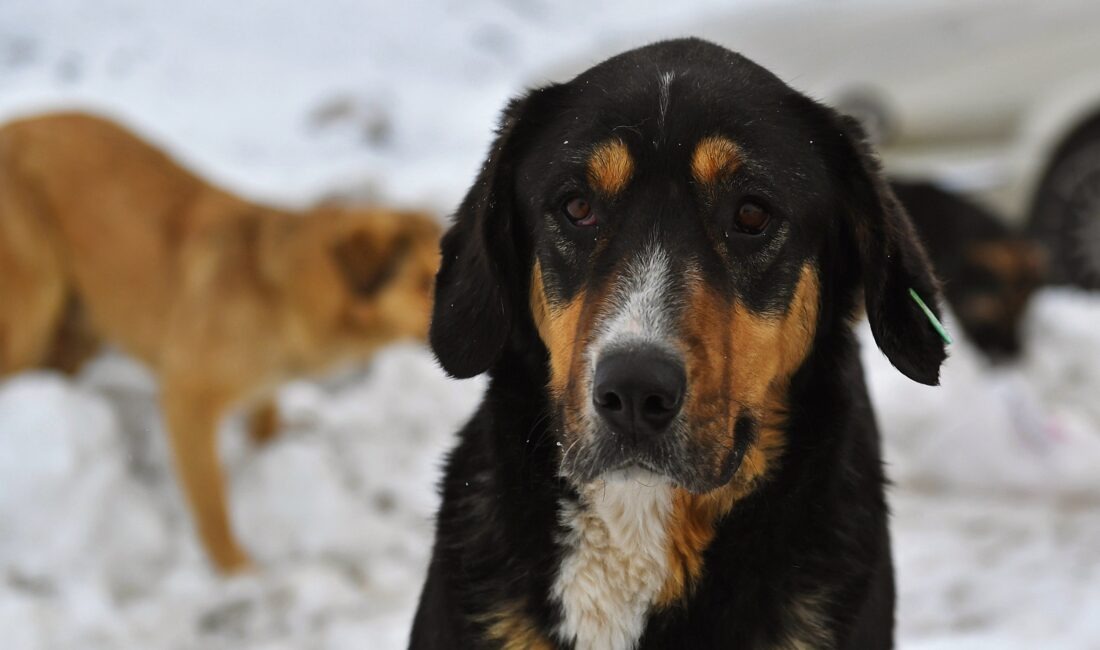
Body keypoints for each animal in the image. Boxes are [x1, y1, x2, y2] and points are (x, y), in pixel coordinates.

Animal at [1, 114, 437, 571]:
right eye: (424, 283)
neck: (278, 289)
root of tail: (13, 125)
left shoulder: (262, 384)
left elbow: (265, 422)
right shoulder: (186, 399)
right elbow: (212, 504)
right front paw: (237, 570)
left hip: (84, 320)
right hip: (34, 308)